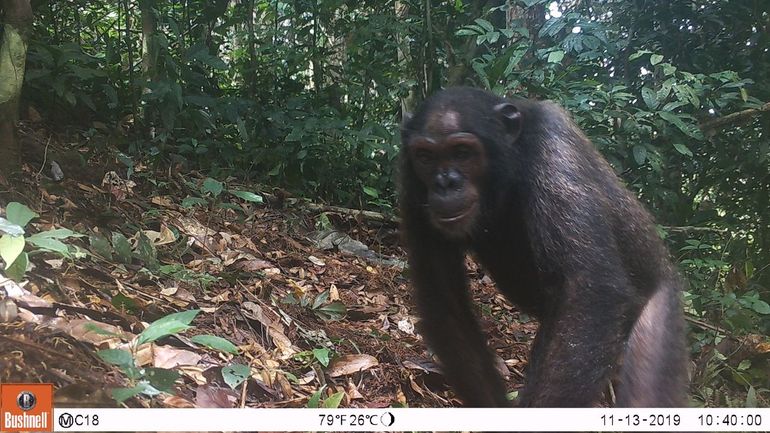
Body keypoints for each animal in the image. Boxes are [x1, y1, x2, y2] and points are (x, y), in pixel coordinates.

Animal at [400, 87, 688, 404]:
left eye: (462, 152)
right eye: (425, 156)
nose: (445, 183)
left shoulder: (553, 152)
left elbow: (591, 291)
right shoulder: (412, 186)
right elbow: (447, 306)